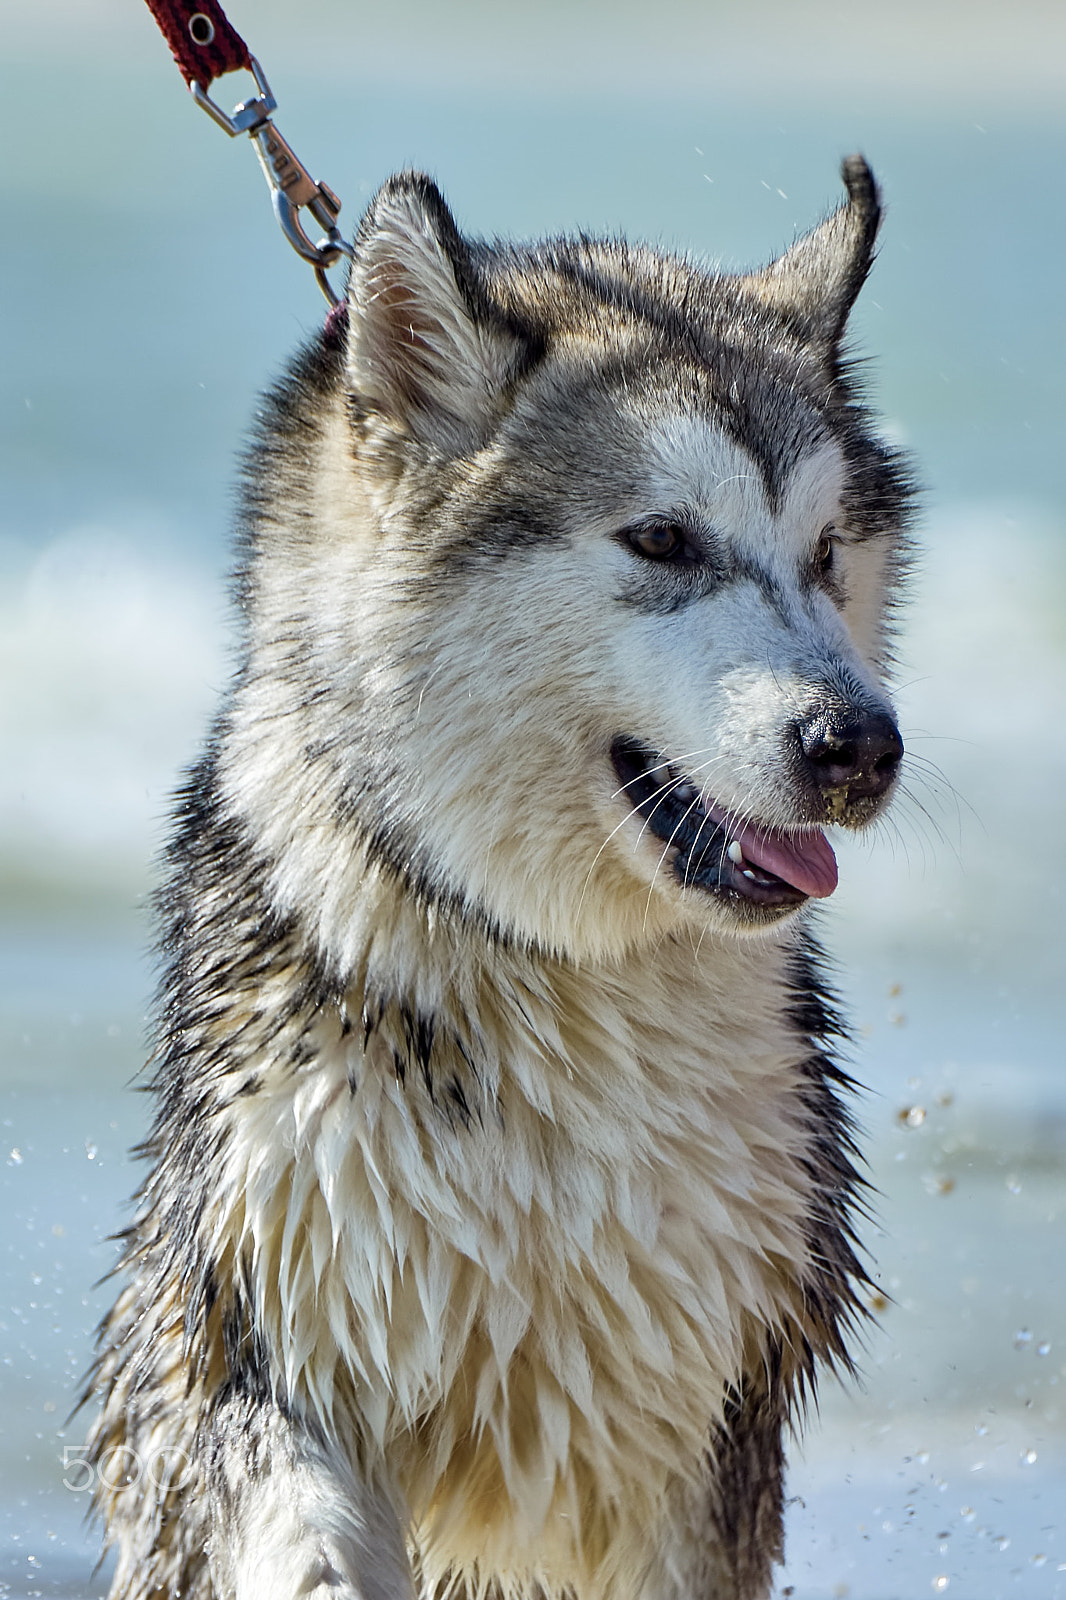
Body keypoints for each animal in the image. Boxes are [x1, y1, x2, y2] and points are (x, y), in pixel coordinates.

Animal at [85, 159, 915, 1600]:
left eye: (824, 553)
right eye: (663, 540)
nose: (859, 746)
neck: (549, 958)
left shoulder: (695, 1407)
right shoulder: (266, 1327)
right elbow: (305, 1540)